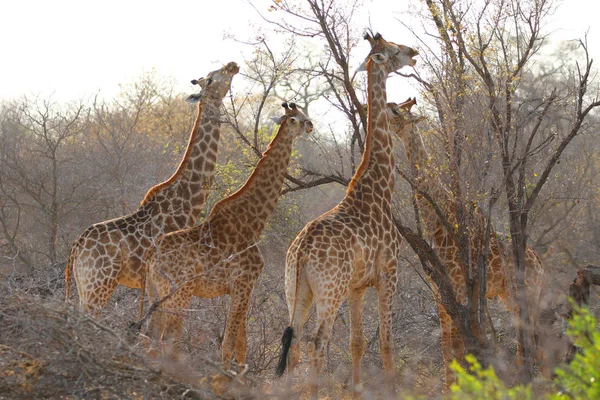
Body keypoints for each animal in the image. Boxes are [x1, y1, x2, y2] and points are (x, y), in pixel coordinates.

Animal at [65, 61, 239, 316]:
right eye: (211, 79)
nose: (232, 65)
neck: (186, 204)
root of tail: (76, 247)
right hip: (98, 284)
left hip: (84, 287)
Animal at [146, 101, 314, 368]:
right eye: (297, 118)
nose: (311, 125)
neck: (253, 222)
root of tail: (152, 257)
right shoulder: (243, 284)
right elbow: (228, 345)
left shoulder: (242, 289)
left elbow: (240, 345)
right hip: (179, 293)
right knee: (168, 340)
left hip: (155, 292)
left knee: (151, 338)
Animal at [276, 32, 418, 398]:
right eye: (393, 50)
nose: (414, 51)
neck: (380, 187)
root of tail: (302, 251)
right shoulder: (388, 273)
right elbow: (385, 343)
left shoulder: (357, 286)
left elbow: (357, 342)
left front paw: (355, 390)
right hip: (330, 290)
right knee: (317, 342)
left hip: (296, 289)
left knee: (294, 342)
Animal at [386, 97, 548, 388]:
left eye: (396, 110)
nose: (377, 110)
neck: (438, 224)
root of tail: (540, 264)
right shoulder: (440, 294)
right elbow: (446, 346)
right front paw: (450, 388)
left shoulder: (459, 289)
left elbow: (459, 346)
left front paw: (462, 387)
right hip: (516, 296)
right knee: (534, 343)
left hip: (523, 294)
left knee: (528, 343)